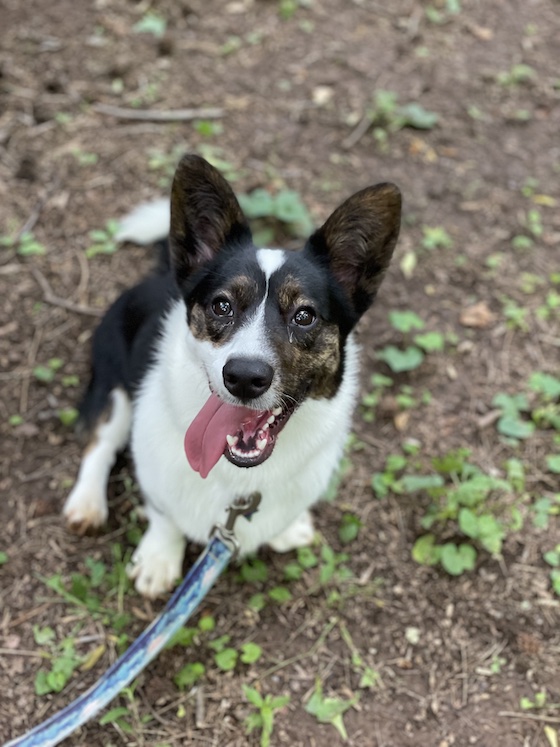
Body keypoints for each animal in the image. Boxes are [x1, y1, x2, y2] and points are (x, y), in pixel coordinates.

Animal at [63, 155, 400, 600]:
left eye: (304, 315)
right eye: (221, 305)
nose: (244, 377)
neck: (240, 474)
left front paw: (288, 530)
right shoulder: (154, 469)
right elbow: (163, 514)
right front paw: (158, 558)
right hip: (115, 389)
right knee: (98, 444)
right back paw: (87, 503)